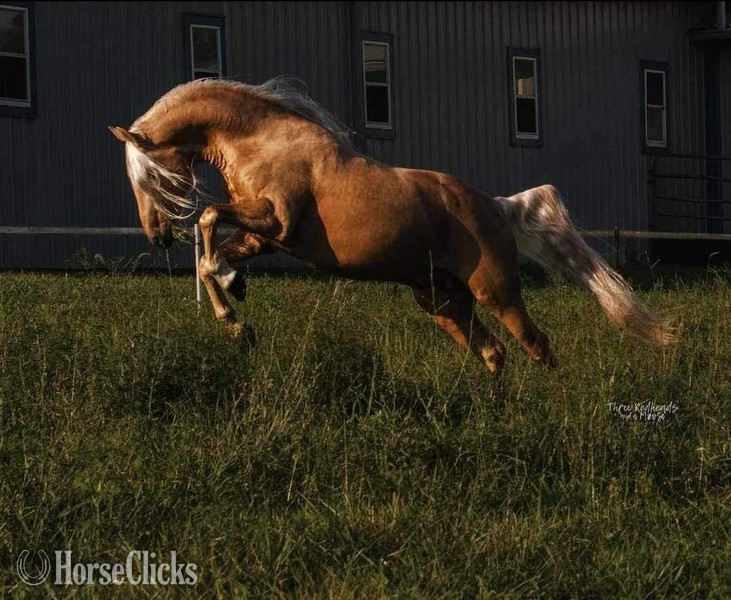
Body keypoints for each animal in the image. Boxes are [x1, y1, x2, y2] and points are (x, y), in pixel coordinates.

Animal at [109, 77, 675, 375]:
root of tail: (497, 206)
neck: (262, 140)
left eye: (148, 175)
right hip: (442, 303)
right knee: (493, 354)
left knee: (538, 346)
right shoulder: (259, 235)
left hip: (496, 292)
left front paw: (235, 301)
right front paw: (237, 319)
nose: (156, 235)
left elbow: (208, 221)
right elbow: (210, 257)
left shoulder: (276, 222)